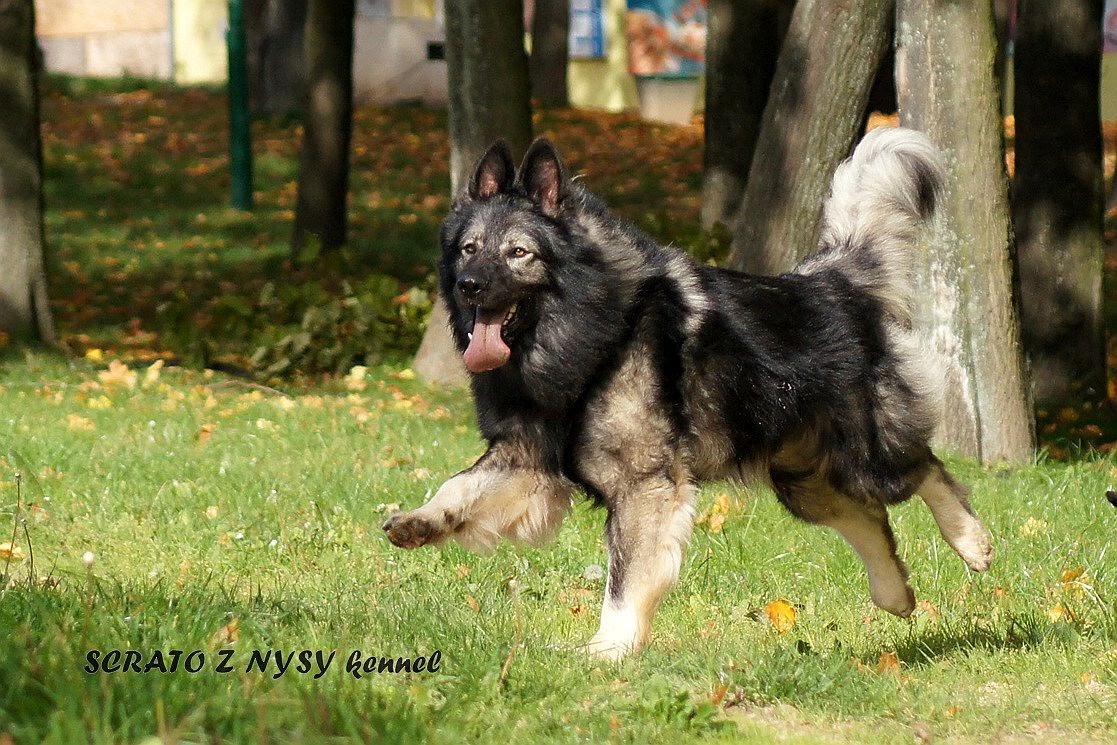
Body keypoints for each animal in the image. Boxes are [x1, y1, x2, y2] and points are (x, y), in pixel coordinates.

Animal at [386, 126, 996, 656]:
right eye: (469, 248)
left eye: (518, 253)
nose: (470, 286)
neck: (594, 333)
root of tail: (834, 279)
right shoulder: (528, 459)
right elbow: (461, 486)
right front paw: (421, 521)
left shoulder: (643, 485)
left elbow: (625, 577)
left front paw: (609, 650)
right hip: (804, 480)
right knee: (870, 519)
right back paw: (896, 595)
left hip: (864, 459)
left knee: (927, 469)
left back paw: (972, 542)